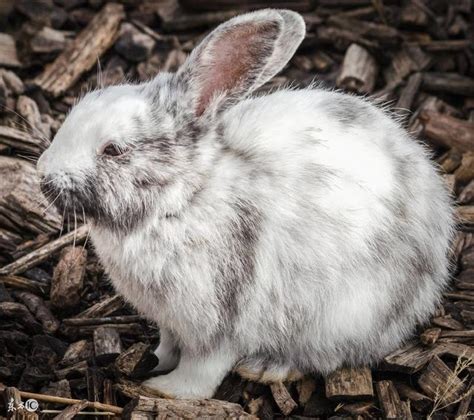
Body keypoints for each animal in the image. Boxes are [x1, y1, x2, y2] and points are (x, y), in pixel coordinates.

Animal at [35, 8, 454, 398]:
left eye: (114, 150)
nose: (42, 174)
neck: (183, 200)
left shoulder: (219, 323)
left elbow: (201, 371)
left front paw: (167, 390)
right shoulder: (171, 322)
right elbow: (168, 344)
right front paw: (153, 360)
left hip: (342, 315)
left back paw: (265, 368)